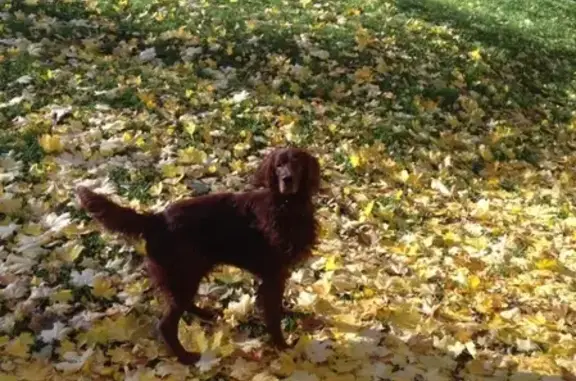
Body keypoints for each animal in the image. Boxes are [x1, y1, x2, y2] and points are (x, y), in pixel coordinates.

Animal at [75, 147, 322, 364]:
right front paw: (282, 345)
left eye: (297, 163)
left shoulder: (278, 273)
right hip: (184, 273)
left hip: (188, 272)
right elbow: (272, 313)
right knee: (166, 324)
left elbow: (276, 304)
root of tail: (156, 220)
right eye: (279, 165)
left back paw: (204, 313)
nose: (287, 179)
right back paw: (185, 357)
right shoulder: (272, 272)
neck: (288, 206)